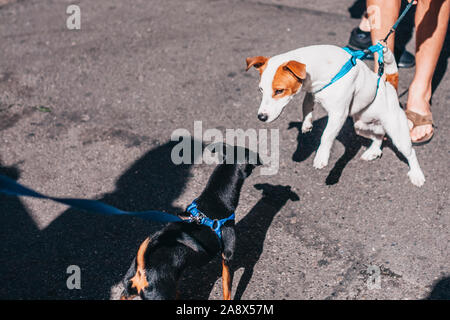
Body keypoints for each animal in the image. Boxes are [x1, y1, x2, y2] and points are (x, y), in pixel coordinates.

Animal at [246, 44, 426, 185]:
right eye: (260, 90)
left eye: (279, 91)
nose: (261, 117)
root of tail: (389, 86)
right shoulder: (312, 93)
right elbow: (306, 105)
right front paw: (306, 124)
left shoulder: (338, 114)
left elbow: (326, 136)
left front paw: (321, 157)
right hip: (361, 126)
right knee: (379, 136)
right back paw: (373, 151)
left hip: (397, 132)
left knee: (410, 153)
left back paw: (417, 175)